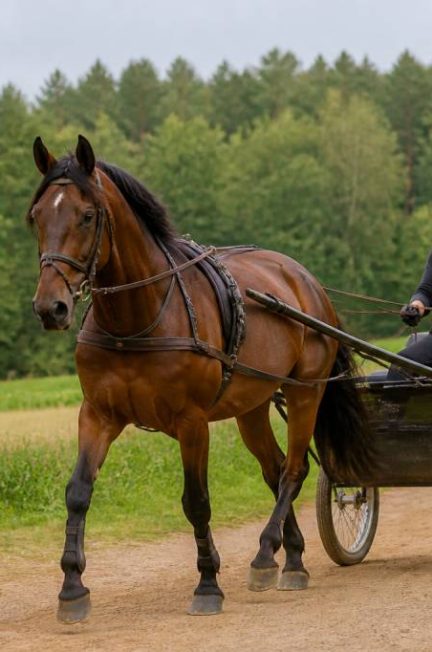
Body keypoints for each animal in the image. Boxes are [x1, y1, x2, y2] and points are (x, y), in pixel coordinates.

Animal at [29, 135, 373, 623]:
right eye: (37, 216)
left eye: (87, 215)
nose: (50, 307)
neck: (138, 318)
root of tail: (306, 281)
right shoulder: (97, 414)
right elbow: (77, 493)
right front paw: (72, 588)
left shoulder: (191, 422)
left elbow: (196, 501)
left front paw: (208, 583)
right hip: (252, 406)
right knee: (274, 470)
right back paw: (292, 559)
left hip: (305, 392)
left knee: (293, 470)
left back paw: (265, 555)